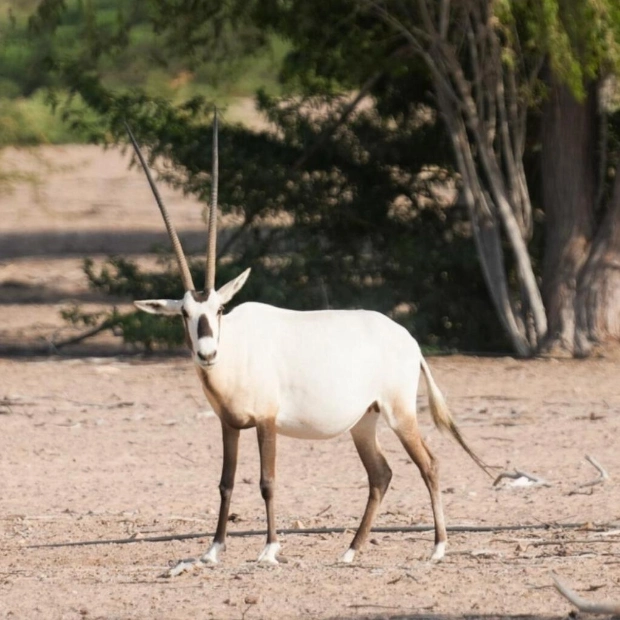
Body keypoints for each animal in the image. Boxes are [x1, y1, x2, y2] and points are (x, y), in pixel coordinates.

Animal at [126, 112, 486, 568]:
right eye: (185, 315)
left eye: (220, 310)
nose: (207, 353)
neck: (237, 351)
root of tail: (409, 340)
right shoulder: (230, 424)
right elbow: (226, 482)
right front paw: (212, 550)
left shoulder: (266, 421)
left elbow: (267, 480)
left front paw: (269, 549)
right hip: (364, 421)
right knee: (381, 473)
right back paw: (350, 551)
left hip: (399, 412)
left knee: (430, 464)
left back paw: (437, 548)